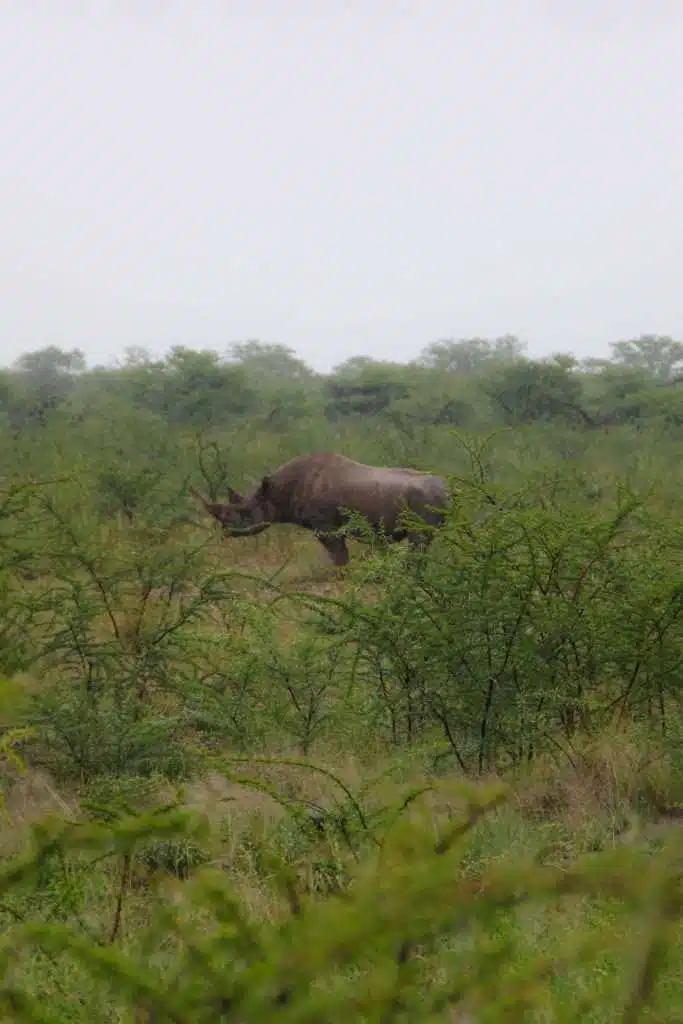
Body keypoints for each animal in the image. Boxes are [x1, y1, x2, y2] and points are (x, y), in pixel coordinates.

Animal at [190, 451, 448, 566]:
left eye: (244, 514)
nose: (226, 532)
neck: (275, 492)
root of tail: (445, 487)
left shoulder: (324, 525)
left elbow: (338, 554)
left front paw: (343, 576)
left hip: (422, 500)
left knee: (419, 539)